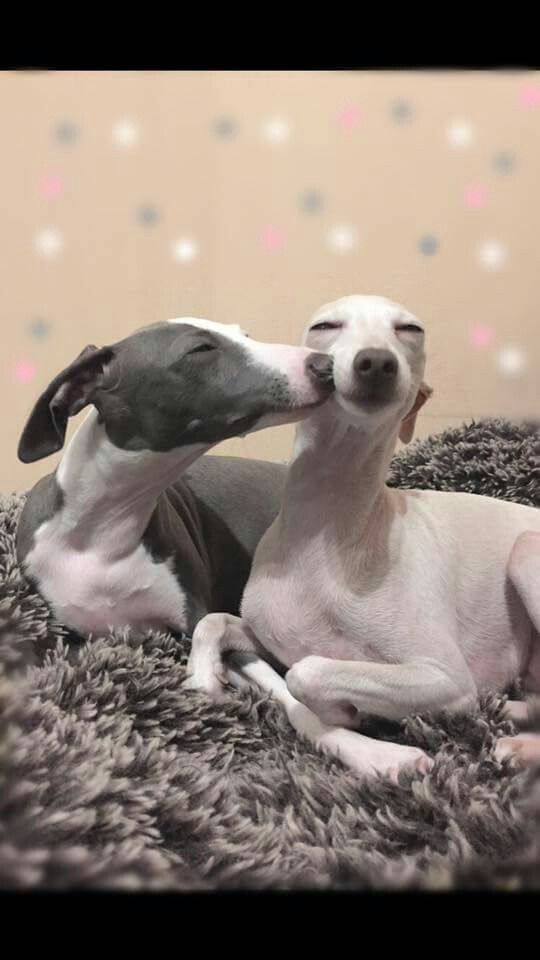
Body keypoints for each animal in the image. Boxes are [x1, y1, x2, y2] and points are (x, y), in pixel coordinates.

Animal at [15, 318, 334, 640]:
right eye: (201, 349)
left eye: (246, 336)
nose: (326, 365)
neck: (100, 533)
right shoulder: (63, 632)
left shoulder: (189, 615)